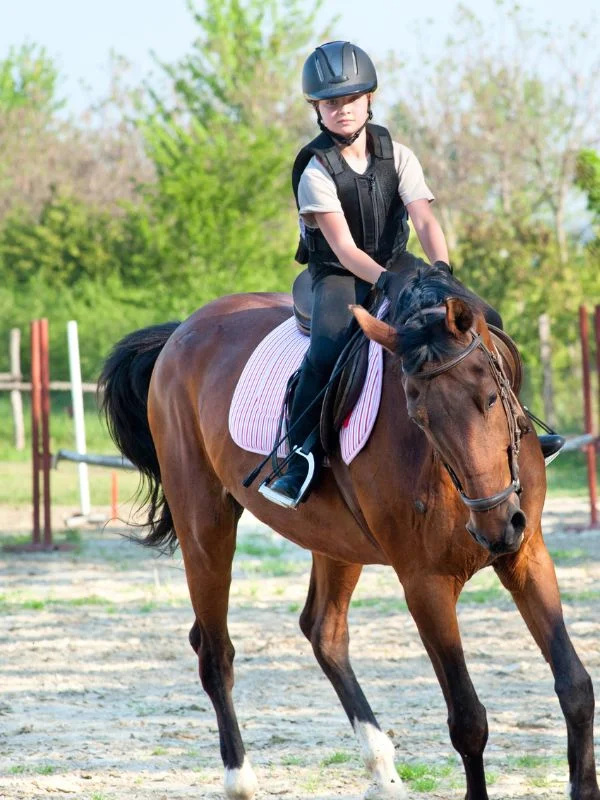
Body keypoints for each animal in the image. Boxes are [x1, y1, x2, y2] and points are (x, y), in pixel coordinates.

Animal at [101, 258, 596, 800]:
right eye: (418, 415)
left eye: (490, 397)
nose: (495, 526)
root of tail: (181, 332)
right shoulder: (425, 584)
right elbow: (468, 719)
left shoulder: (527, 556)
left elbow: (575, 686)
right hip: (204, 525)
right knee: (214, 650)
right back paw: (240, 779)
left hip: (335, 542)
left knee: (324, 631)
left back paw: (383, 771)